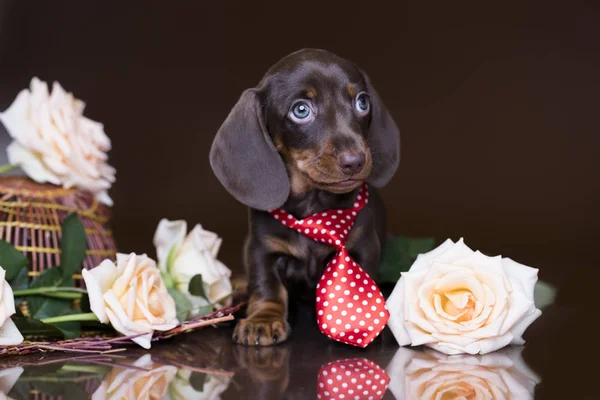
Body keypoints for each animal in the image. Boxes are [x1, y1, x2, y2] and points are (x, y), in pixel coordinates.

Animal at [209, 48, 400, 346]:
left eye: (362, 102)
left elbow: (362, 280)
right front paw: (263, 320)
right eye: (301, 110)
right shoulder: (261, 249)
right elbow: (267, 286)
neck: (315, 206)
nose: (355, 161)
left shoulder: (364, 245)